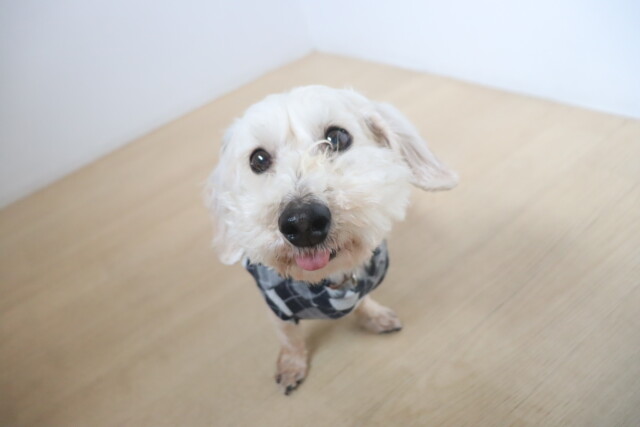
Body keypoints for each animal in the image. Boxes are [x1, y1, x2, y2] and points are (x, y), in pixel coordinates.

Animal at [205, 85, 457, 394]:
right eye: (259, 159)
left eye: (337, 137)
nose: (302, 222)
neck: (328, 282)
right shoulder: (277, 306)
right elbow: (289, 337)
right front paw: (292, 366)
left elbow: (363, 301)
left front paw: (374, 316)